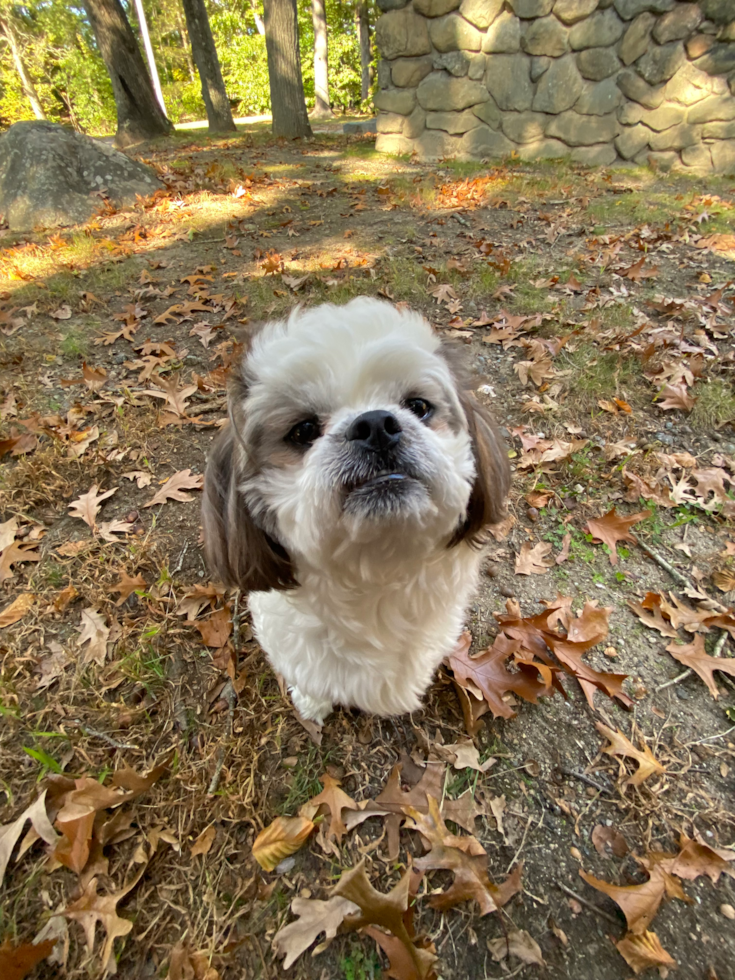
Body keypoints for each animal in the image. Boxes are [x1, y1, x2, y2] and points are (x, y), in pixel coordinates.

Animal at [203, 296, 512, 720]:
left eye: (418, 406)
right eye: (303, 430)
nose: (376, 424)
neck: (377, 569)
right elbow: (310, 679)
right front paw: (312, 703)